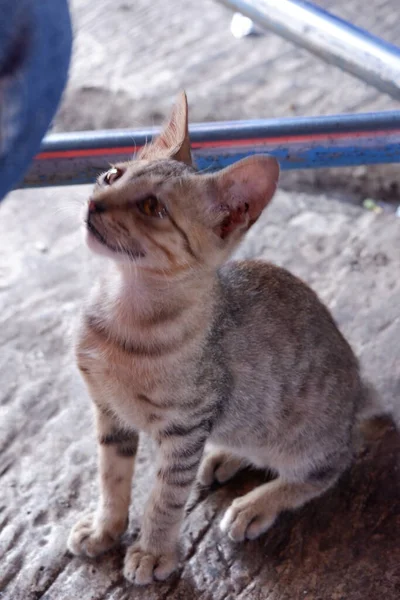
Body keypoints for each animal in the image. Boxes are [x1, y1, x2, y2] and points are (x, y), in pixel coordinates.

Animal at [67, 91, 382, 584]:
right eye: (112, 175)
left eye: (152, 208)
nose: (95, 202)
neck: (125, 313)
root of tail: (357, 395)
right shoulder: (109, 413)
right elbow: (112, 479)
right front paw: (105, 529)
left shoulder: (186, 427)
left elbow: (165, 498)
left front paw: (153, 552)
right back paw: (224, 457)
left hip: (304, 438)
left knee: (330, 466)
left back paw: (256, 505)